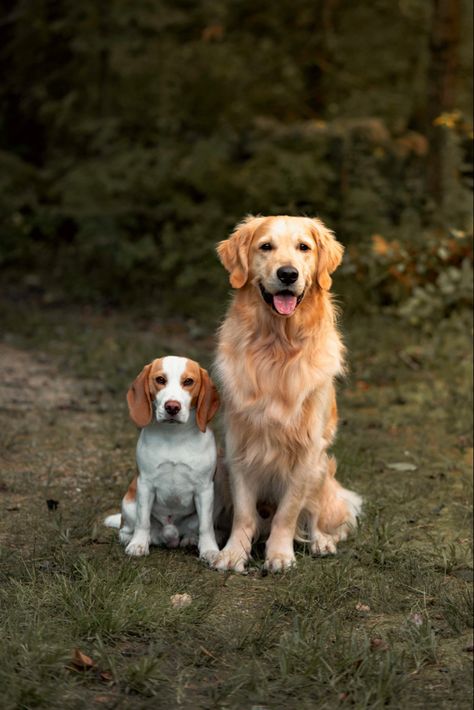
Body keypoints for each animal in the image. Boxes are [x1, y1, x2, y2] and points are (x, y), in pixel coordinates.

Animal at [104, 358, 221, 564]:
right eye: (160, 379)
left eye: (188, 382)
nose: (172, 407)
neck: (174, 436)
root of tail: (168, 535)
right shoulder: (145, 485)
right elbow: (143, 521)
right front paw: (138, 545)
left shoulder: (205, 489)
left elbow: (206, 526)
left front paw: (209, 550)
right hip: (129, 501)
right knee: (127, 527)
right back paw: (133, 538)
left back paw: (190, 539)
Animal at [211, 216, 360, 572]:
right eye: (266, 247)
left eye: (304, 247)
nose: (288, 274)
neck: (277, 346)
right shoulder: (238, 447)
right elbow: (244, 513)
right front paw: (233, 552)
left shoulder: (307, 453)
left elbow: (288, 513)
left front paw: (279, 555)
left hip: (323, 472)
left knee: (317, 516)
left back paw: (321, 541)